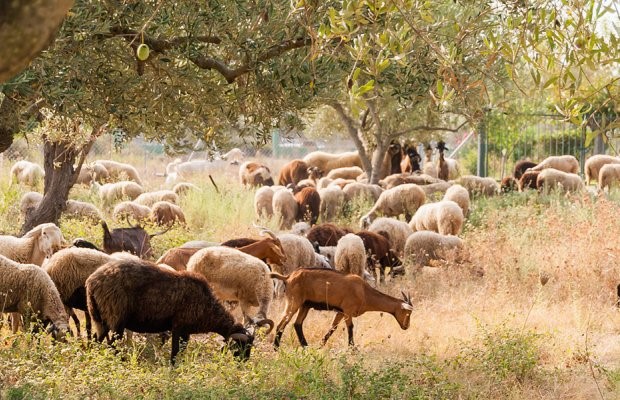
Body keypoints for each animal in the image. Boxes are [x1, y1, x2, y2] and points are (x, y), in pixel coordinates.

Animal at [272, 268, 412, 348]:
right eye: (407, 312)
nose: (406, 326)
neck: (364, 291)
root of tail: (288, 277)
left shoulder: (340, 312)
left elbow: (332, 328)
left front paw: (320, 346)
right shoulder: (348, 311)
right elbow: (350, 328)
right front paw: (352, 348)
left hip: (305, 305)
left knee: (297, 324)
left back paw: (305, 346)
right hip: (293, 302)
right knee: (282, 323)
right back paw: (276, 348)